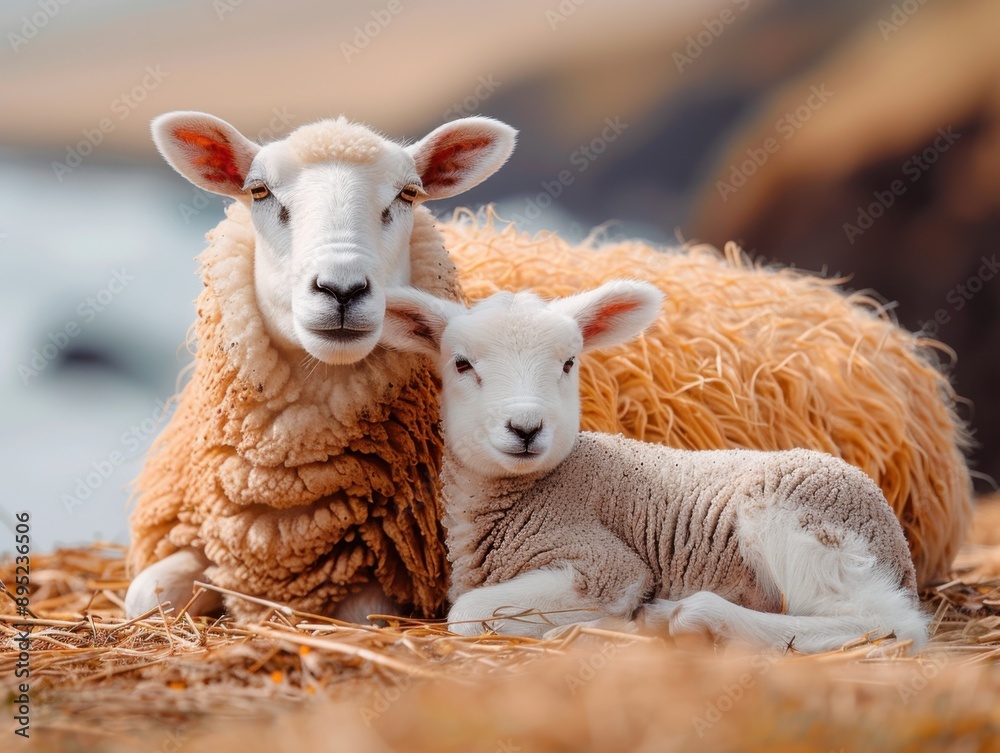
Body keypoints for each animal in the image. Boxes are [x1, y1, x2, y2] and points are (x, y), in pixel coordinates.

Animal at [380, 280, 930, 653]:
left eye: (569, 362)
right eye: (461, 364)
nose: (526, 427)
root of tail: (895, 546)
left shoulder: (604, 562)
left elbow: (467, 613)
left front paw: (603, 625)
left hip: (799, 522)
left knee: (885, 624)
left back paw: (689, 617)